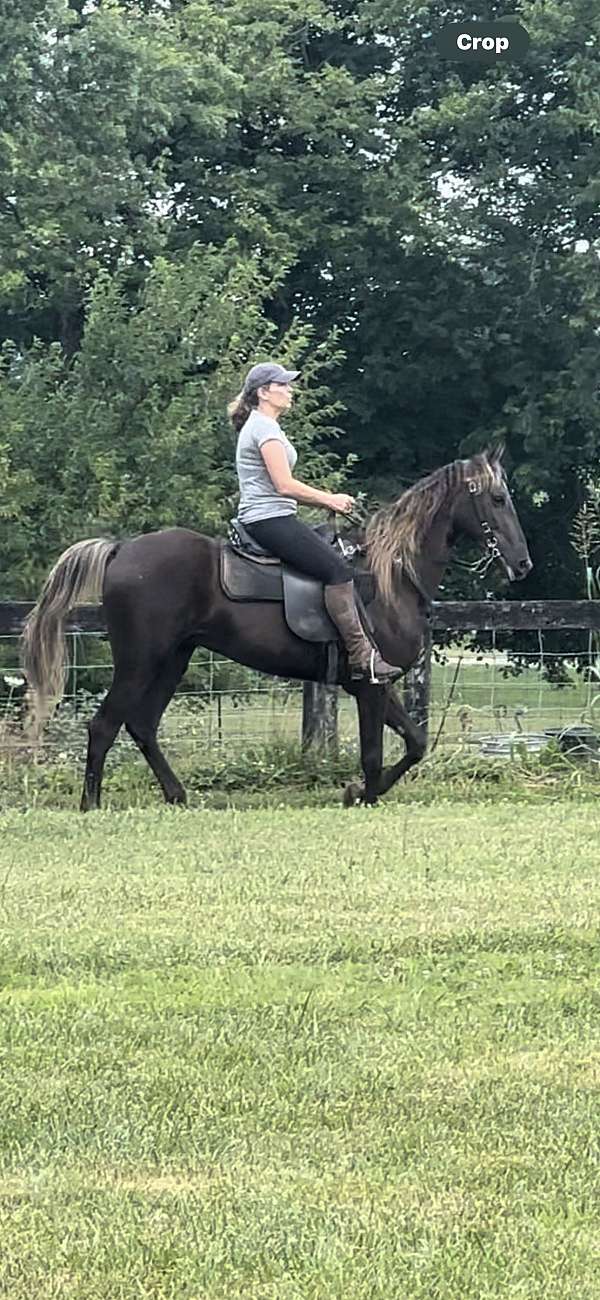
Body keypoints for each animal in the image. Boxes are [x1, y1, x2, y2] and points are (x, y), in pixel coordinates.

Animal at [21, 447, 532, 811]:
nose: (523, 564)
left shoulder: (374, 684)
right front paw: (362, 794)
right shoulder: (369, 686)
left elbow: (416, 743)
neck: (390, 578)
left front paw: (360, 792)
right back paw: (91, 804)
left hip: (173, 660)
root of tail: (121, 549)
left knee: (142, 725)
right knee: (104, 725)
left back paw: (176, 795)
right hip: (140, 662)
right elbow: (374, 754)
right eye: (498, 498)